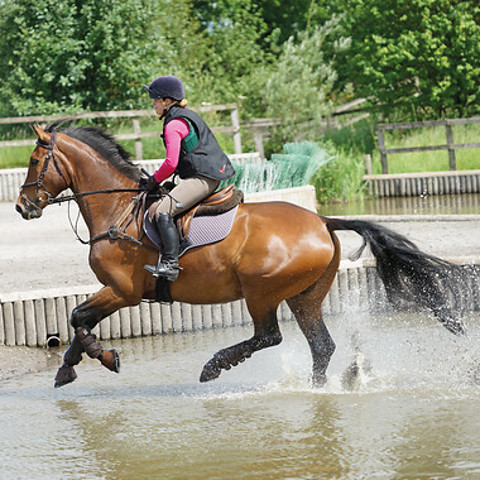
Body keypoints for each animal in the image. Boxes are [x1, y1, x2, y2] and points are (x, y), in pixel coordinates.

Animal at [15, 122, 464, 388]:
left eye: (35, 160)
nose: (22, 207)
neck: (117, 208)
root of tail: (322, 221)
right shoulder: (116, 292)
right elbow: (78, 321)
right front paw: (67, 367)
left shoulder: (122, 291)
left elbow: (79, 319)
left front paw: (104, 358)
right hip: (306, 296)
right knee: (320, 345)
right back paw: (318, 388)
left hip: (261, 291)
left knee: (269, 335)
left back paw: (215, 366)